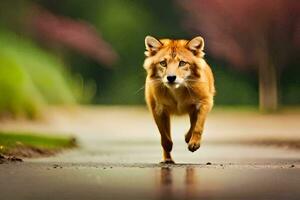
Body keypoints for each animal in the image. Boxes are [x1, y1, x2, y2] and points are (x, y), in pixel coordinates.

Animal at [144, 36, 214, 164]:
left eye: (182, 63)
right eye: (163, 63)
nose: (171, 78)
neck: (177, 91)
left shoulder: (205, 102)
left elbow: (198, 125)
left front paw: (193, 143)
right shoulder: (157, 109)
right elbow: (163, 133)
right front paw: (168, 146)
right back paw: (168, 159)